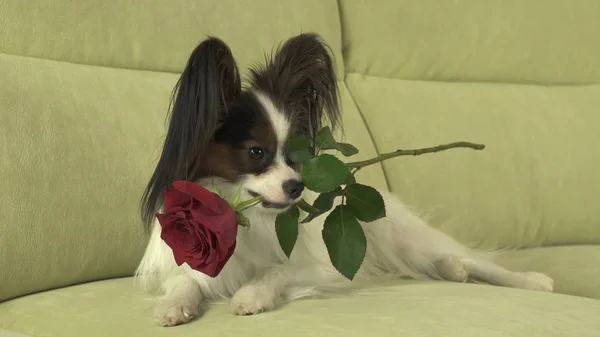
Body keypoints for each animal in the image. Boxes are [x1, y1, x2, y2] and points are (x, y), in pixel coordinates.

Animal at [135, 33, 552, 326]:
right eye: (256, 153)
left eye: (295, 155)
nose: (296, 187)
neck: (248, 219)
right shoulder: (188, 263)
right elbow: (185, 281)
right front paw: (173, 306)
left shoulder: (320, 267)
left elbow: (276, 268)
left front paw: (252, 295)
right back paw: (455, 271)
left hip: (406, 235)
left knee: (476, 260)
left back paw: (530, 280)